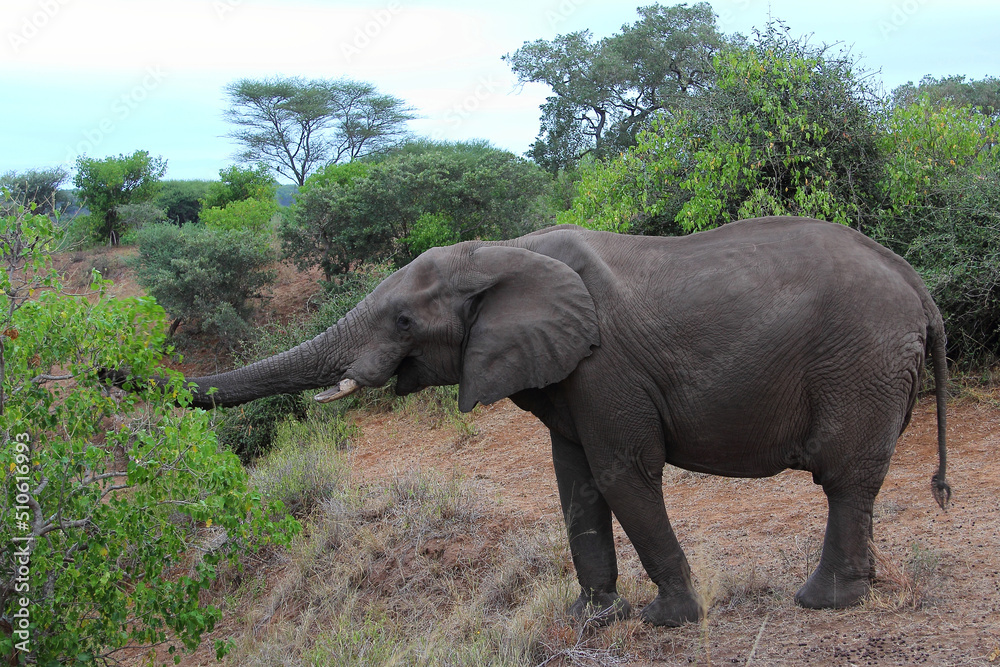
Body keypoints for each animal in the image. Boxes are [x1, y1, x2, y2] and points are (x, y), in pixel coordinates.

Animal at [124, 216, 951, 626]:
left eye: (403, 318)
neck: (503, 254)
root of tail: (919, 286)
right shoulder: (566, 372)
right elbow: (574, 480)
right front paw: (592, 619)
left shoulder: (604, 364)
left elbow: (620, 472)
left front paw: (668, 620)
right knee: (854, 480)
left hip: (860, 359)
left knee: (842, 477)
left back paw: (823, 602)